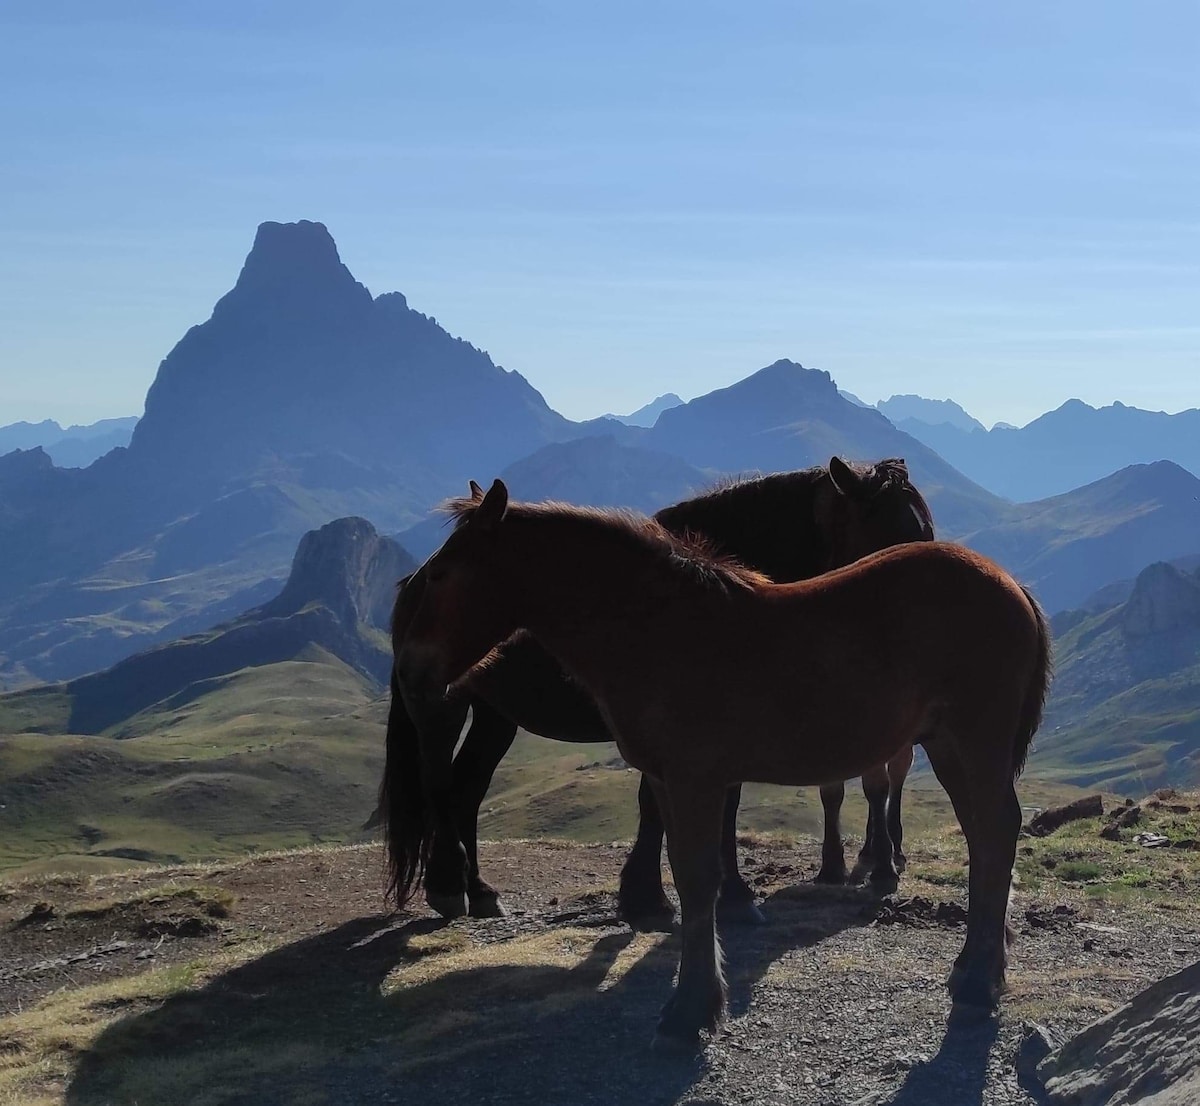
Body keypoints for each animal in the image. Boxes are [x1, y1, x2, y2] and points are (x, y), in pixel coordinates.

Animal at [379, 455, 931, 921]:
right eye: (895, 535)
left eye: (926, 534)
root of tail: (410, 581)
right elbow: (695, 804)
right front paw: (710, 896)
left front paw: (652, 894)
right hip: (445, 702)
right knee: (440, 779)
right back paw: (447, 886)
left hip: (497, 716)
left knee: (468, 788)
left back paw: (480, 891)